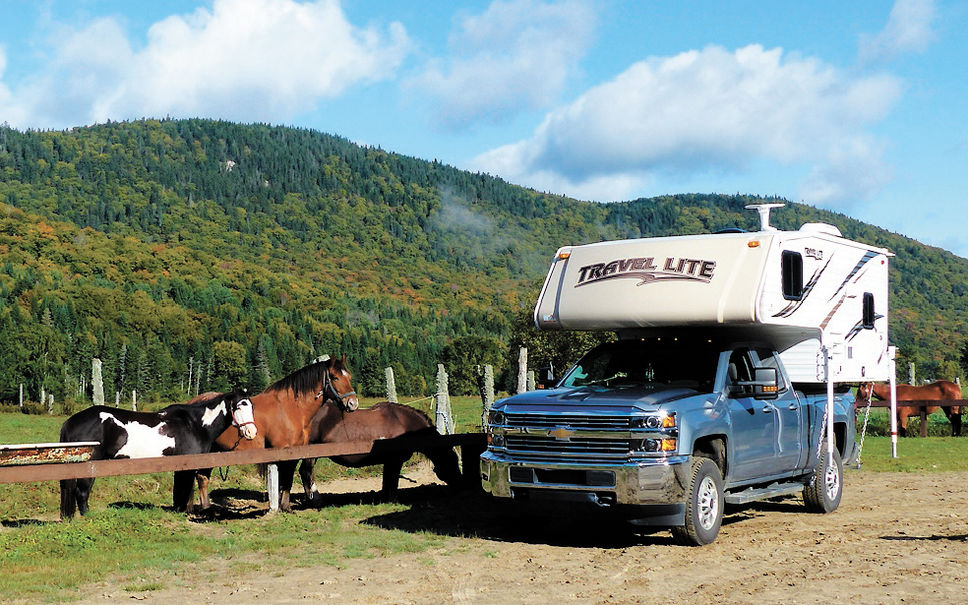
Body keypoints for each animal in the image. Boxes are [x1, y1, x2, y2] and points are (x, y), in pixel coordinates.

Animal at [58, 392, 255, 520]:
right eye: (238, 407)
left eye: (251, 406)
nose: (252, 432)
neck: (196, 425)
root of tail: (71, 422)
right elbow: (184, 489)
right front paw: (183, 512)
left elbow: (180, 490)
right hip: (90, 464)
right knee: (82, 492)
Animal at [193, 356, 360, 512]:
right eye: (335, 377)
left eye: (349, 376)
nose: (353, 403)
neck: (290, 409)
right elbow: (283, 481)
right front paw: (282, 506)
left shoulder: (294, 454)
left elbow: (287, 481)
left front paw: (285, 506)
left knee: (203, 477)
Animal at [294, 402, 462, 500]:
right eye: (452, 462)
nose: (459, 484)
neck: (405, 424)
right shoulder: (395, 461)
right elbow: (392, 481)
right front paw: (392, 499)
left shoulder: (389, 462)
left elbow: (387, 480)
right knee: (306, 472)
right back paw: (314, 498)